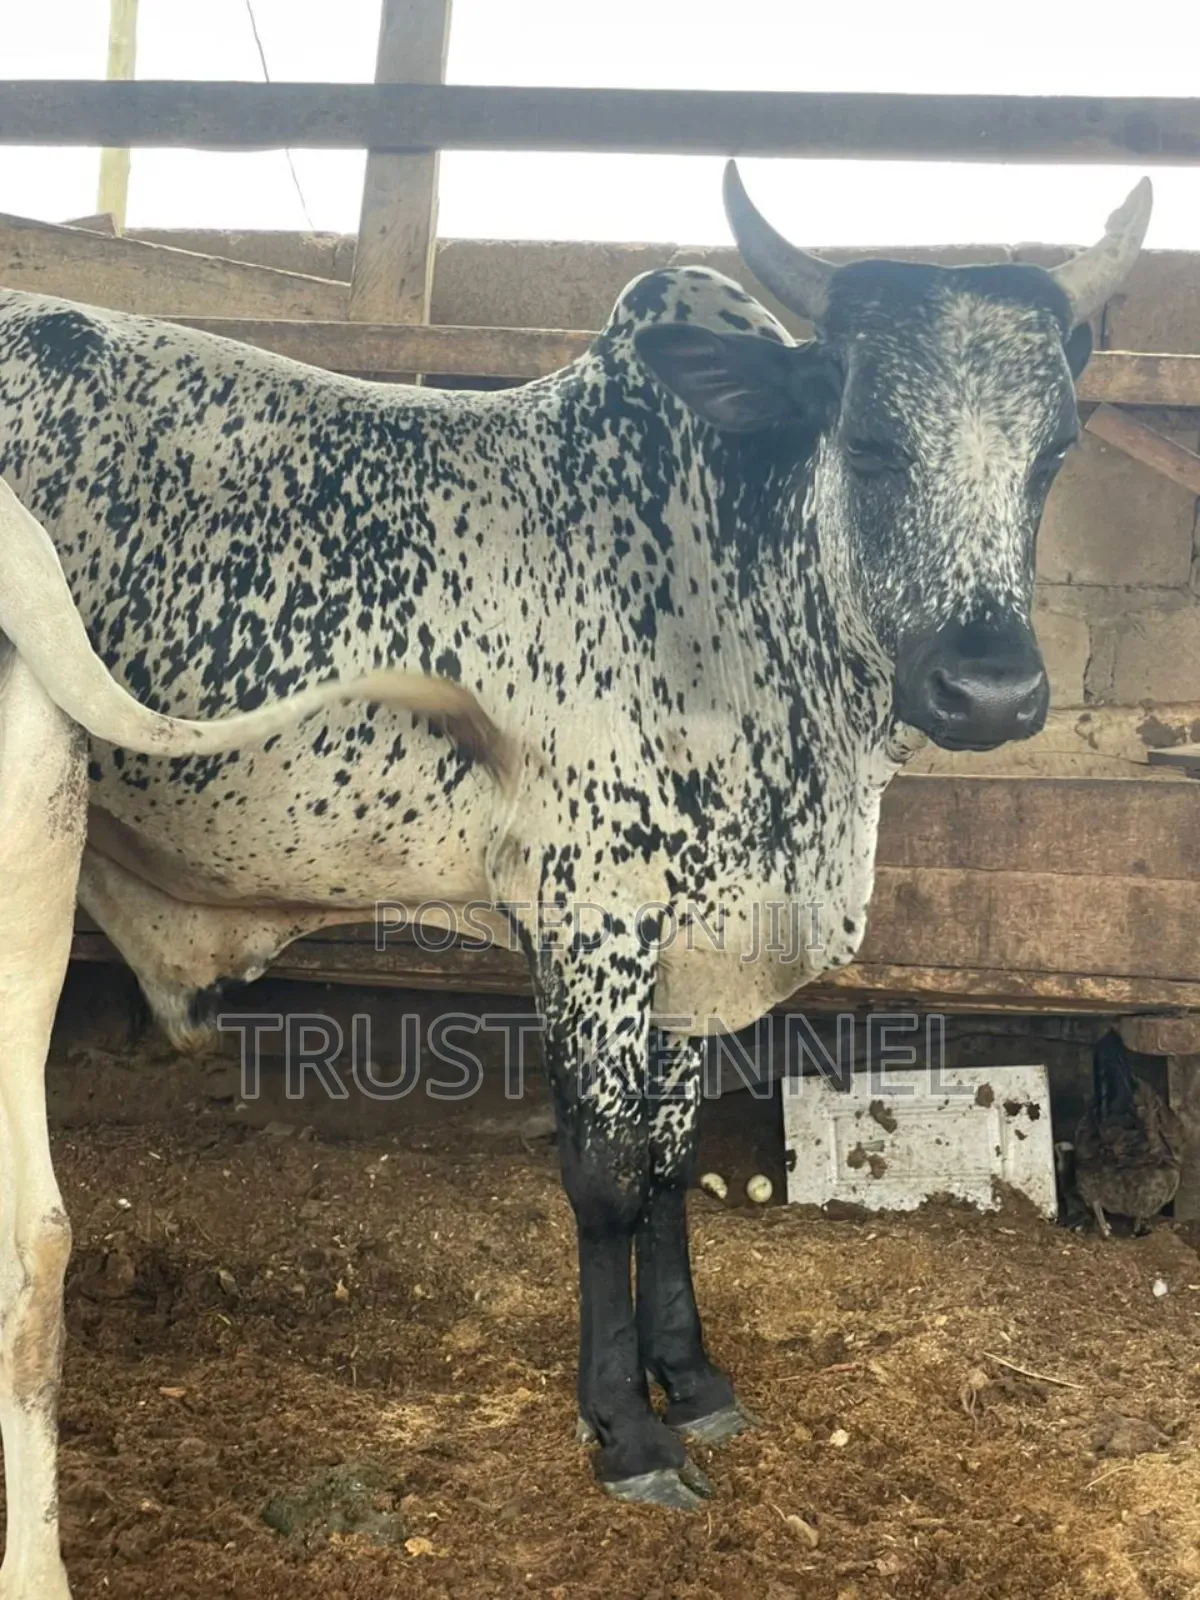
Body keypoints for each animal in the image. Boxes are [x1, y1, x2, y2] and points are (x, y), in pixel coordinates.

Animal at [0, 162, 1150, 1593]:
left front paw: (692, 1378)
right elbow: (604, 1173)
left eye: (1052, 455)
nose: (989, 690)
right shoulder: (591, 916)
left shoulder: (690, 942)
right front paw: (625, 1428)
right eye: (873, 441)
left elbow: (667, 1161)